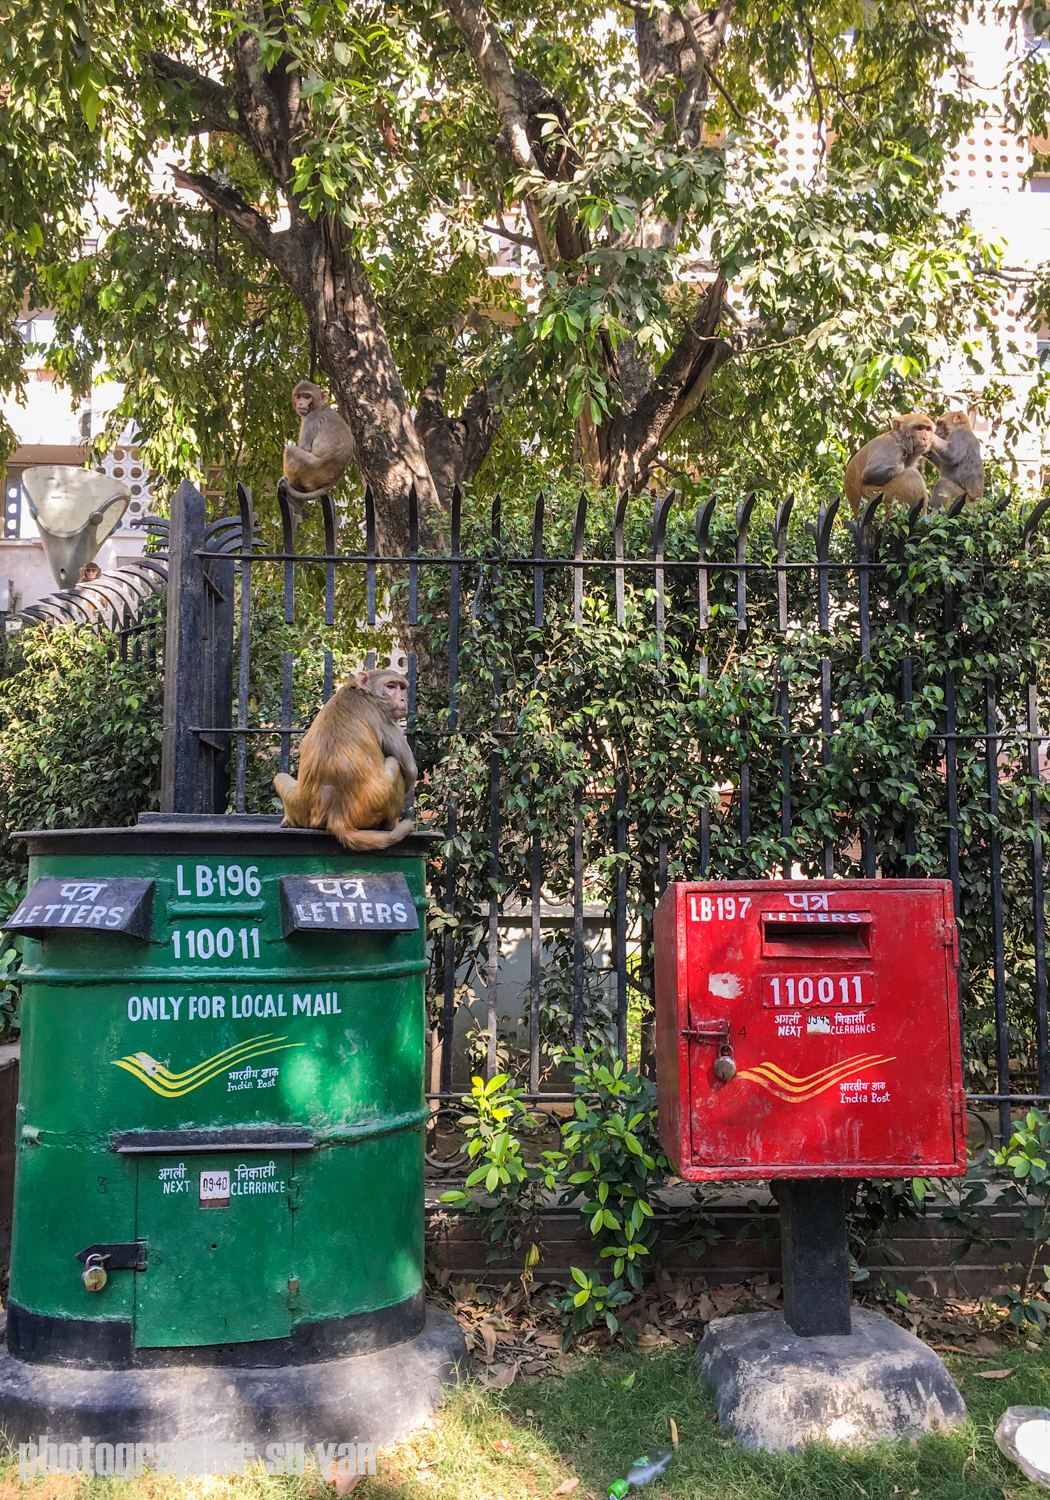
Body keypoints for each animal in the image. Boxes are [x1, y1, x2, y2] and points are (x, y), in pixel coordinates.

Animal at [273, 672, 417, 858]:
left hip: (299, 804)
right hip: (373, 805)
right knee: (394, 763)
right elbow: (410, 770)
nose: (402, 699)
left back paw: (289, 821)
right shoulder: (385, 719)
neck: (363, 692)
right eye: (391, 686)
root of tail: (336, 816)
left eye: (402, 687)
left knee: (280, 777)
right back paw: (390, 825)